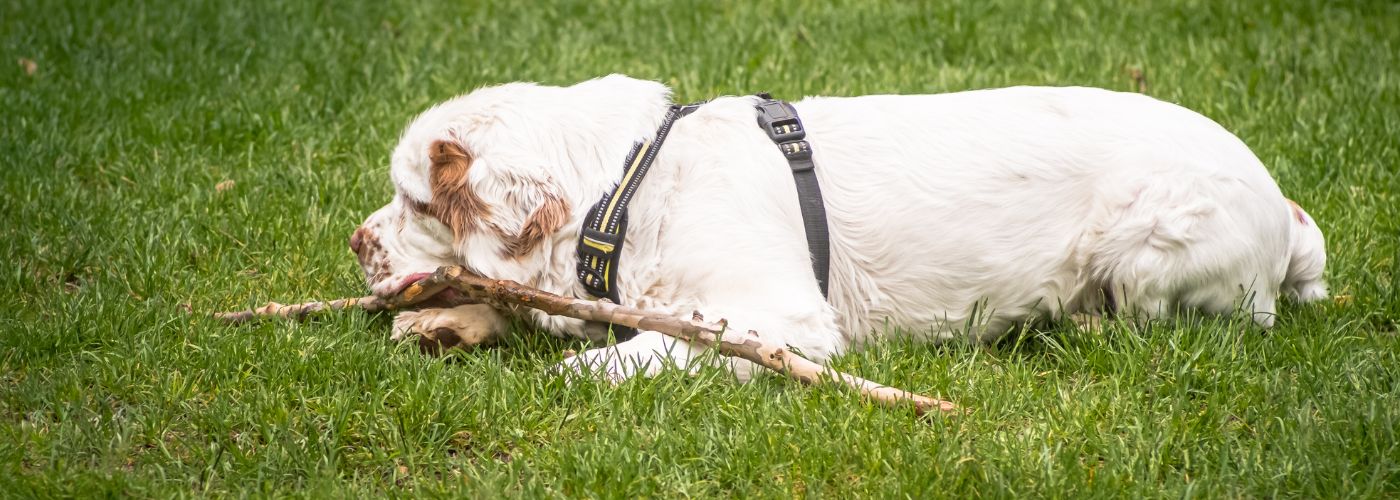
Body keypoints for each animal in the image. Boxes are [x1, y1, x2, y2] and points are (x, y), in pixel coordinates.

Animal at [347, 73, 1321, 378]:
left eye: (415, 203)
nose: (359, 243)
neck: (625, 189)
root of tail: (1285, 206)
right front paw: (448, 321)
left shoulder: (782, 319)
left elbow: (632, 352)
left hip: (1148, 241)